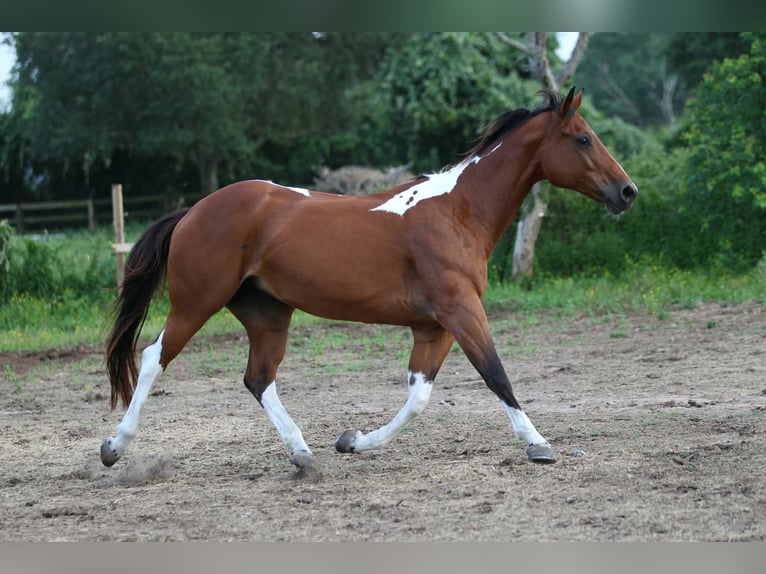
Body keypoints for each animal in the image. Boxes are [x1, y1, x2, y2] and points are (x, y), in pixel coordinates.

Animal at [101, 87, 637, 475]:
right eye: (583, 139)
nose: (628, 192)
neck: (458, 212)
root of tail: (194, 211)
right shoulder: (461, 311)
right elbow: (495, 374)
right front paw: (538, 445)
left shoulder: (434, 326)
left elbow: (419, 397)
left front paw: (352, 441)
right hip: (197, 303)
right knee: (153, 358)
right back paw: (113, 447)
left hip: (267, 314)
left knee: (259, 378)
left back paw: (303, 454)